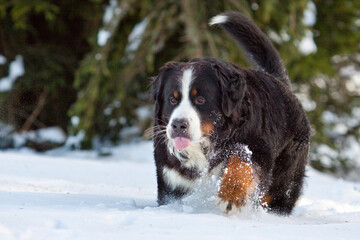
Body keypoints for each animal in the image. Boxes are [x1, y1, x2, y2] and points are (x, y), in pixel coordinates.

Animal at [150, 11, 310, 215]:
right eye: (172, 99)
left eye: (200, 100)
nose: (178, 125)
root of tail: (282, 84)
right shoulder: (171, 177)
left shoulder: (258, 147)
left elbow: (240, 161)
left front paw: (232, 195)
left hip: (285, 175)